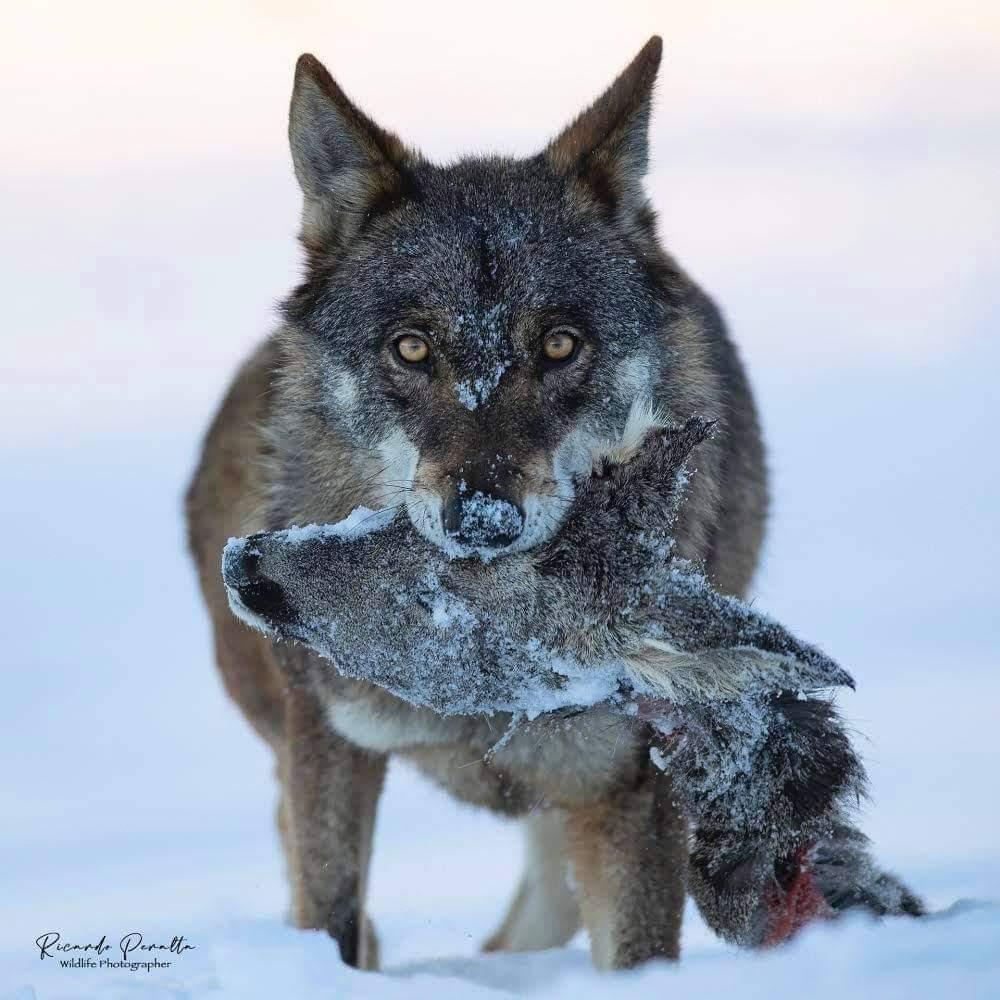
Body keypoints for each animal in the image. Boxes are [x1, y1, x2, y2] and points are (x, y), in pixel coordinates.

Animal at [186, 37, 764, 968]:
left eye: (560, 345)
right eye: (412, 349)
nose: (483, 519)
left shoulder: (630, 786)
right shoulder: (330, 749)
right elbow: (330, 914)